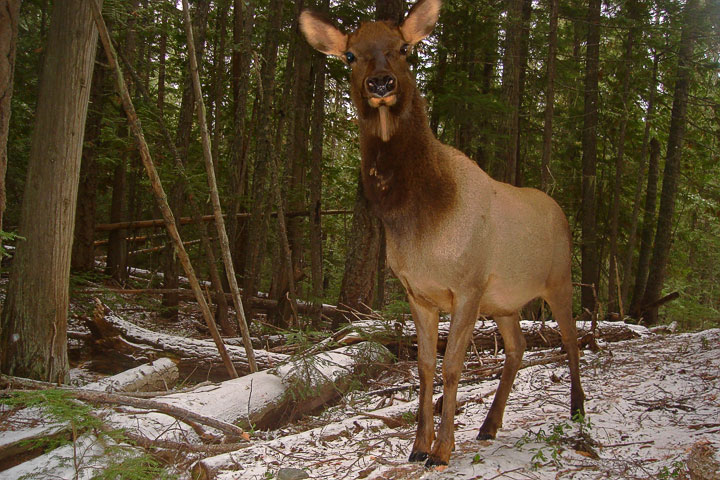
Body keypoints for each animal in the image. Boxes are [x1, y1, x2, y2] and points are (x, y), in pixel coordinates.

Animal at [298, 0, 584, 466]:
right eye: (351, 55)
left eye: (403, 48)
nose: (381, 82)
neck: (420, 222)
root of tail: (561, 211)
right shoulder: (419, 293)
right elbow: (425, 366)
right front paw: (418, 446)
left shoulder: (468, 284)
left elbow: (453, 367)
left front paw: (444, 449)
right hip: (504, 301)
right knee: (518, 347)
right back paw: (489, 425)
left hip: (559, 279)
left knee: (572, 340)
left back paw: (578, 410)